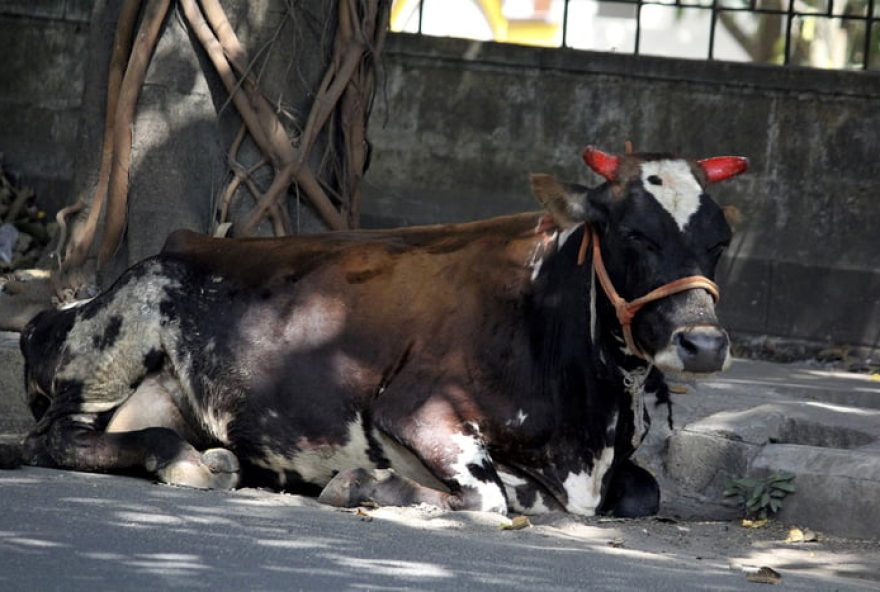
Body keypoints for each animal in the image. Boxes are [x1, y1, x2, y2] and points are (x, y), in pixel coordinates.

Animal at [17, 148, 744, 520]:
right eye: (633, 233)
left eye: (720, 241)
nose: (704, 345)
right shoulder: (415, 408)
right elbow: (491, 495)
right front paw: (361, 484)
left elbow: (643, 492)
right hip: (119, 335)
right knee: (51, 439)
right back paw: (184, 461)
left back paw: (219, 460)